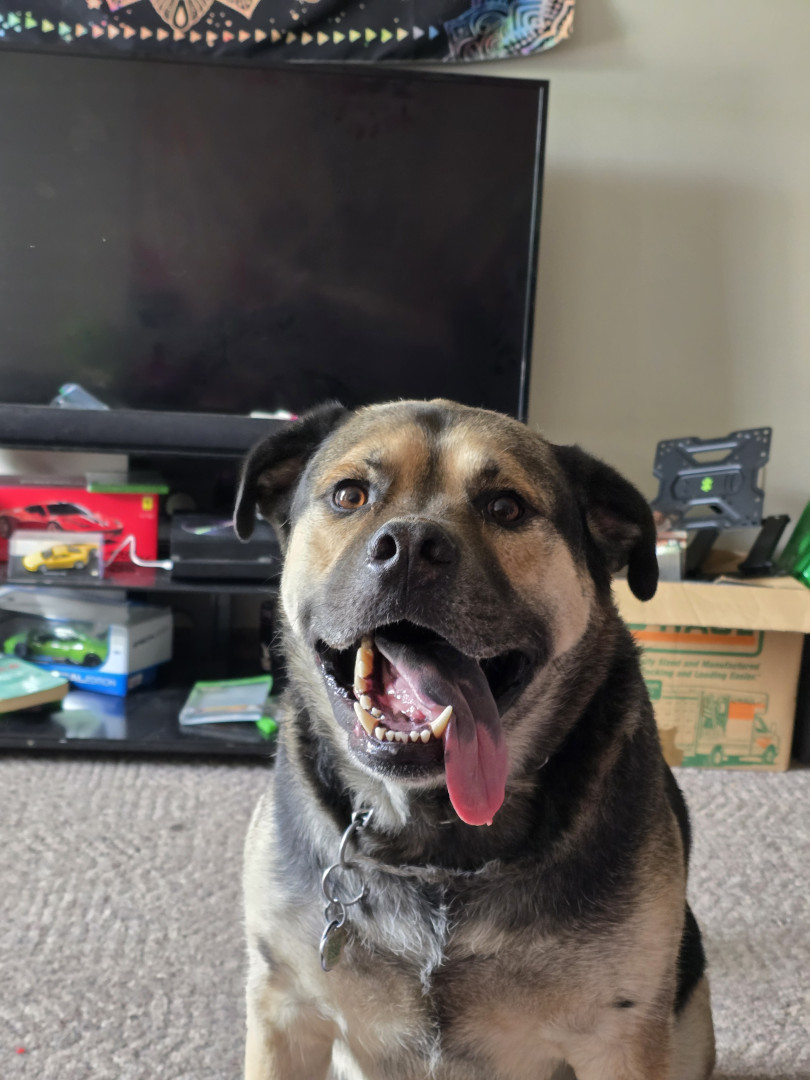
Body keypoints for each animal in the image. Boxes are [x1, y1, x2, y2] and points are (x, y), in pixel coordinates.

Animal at [234, 399, 715, 1080]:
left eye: (506, 508)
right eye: (350, 495)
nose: (411, 546)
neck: (437, 843)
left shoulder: (620, 1037)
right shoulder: (285, 1010)